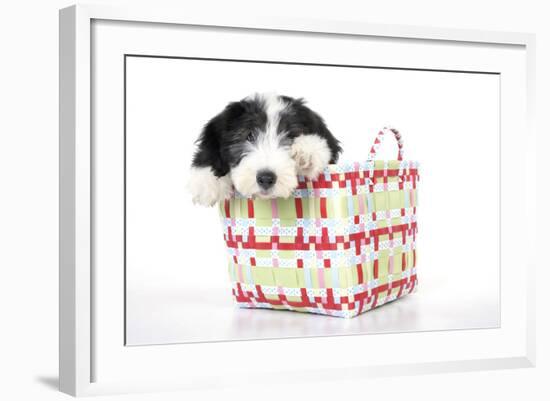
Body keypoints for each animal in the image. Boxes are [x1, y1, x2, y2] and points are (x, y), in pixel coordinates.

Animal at [192, 93, 342, 206]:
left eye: (291, 137)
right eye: (250, 136)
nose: (265, 178)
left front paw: (307, 150)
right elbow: (210, 146)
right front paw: (206, 182)